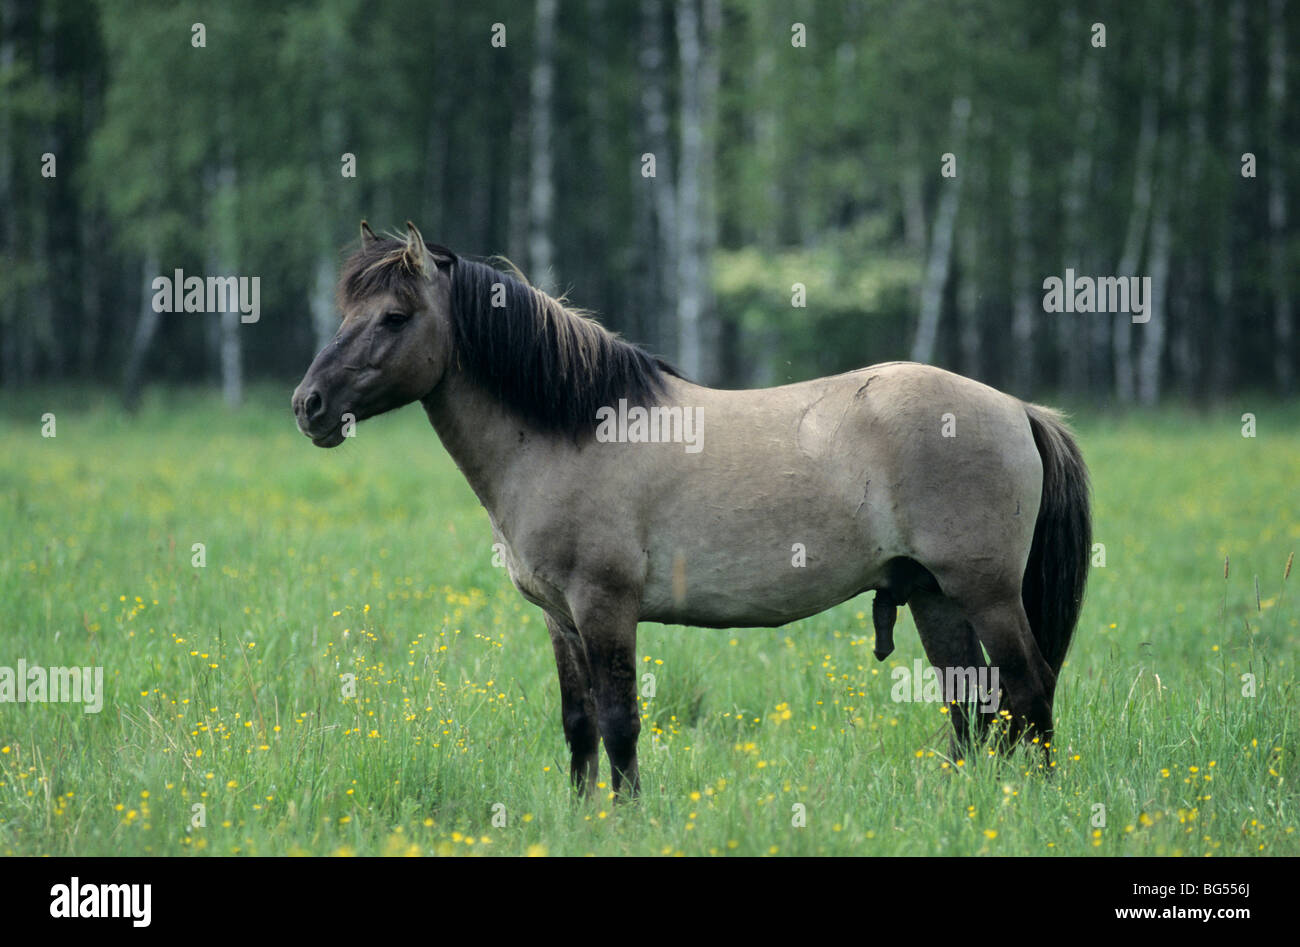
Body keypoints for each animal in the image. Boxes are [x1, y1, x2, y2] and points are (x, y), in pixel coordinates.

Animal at [292, 219, 1086, 790]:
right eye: (347, 309)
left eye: (395, 317)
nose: (309, 406)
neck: (569, 430)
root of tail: (1017, 409)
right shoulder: (560, 618)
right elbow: (579, 724)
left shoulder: (604, 607)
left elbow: (619, 724)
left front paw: (627, 818)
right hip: (933, 596)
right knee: (972, 702)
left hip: (984, 592)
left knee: (1030, 688)